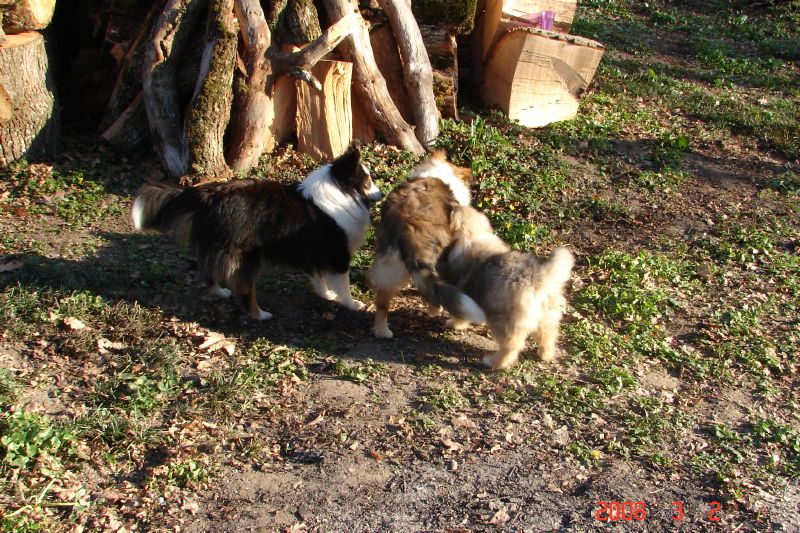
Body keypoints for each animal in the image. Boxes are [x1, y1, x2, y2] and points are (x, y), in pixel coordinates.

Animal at [131, 144, 382, 320]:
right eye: (367, 181)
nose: (380, 195)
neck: (341, 190)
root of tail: (210, 195)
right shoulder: (338, 253)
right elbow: (344, 284)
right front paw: (352, 304)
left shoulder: (315, 251)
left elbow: (320, 277)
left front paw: (326, 295)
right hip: (248, 257)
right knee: (244, 288)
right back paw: (259, 314)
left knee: (209, 270)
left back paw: (219, 292)